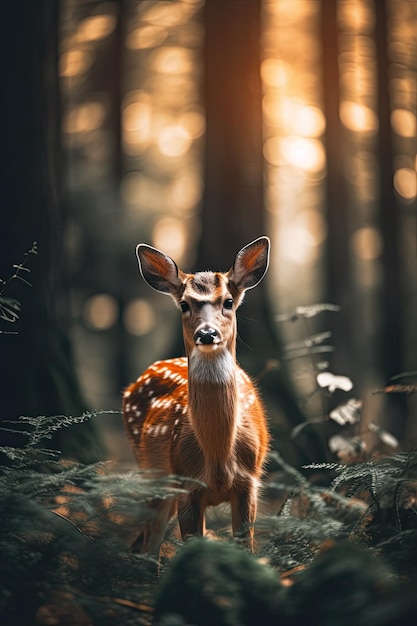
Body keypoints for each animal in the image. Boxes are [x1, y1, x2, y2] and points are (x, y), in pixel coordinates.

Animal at [122, 235, 270, 556]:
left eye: (228, 302)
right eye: (184, 304)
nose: (207, 333)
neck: (218, 460)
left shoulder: (249, 484)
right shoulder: (185, 486)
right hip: (151, 474)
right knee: (148, 545)